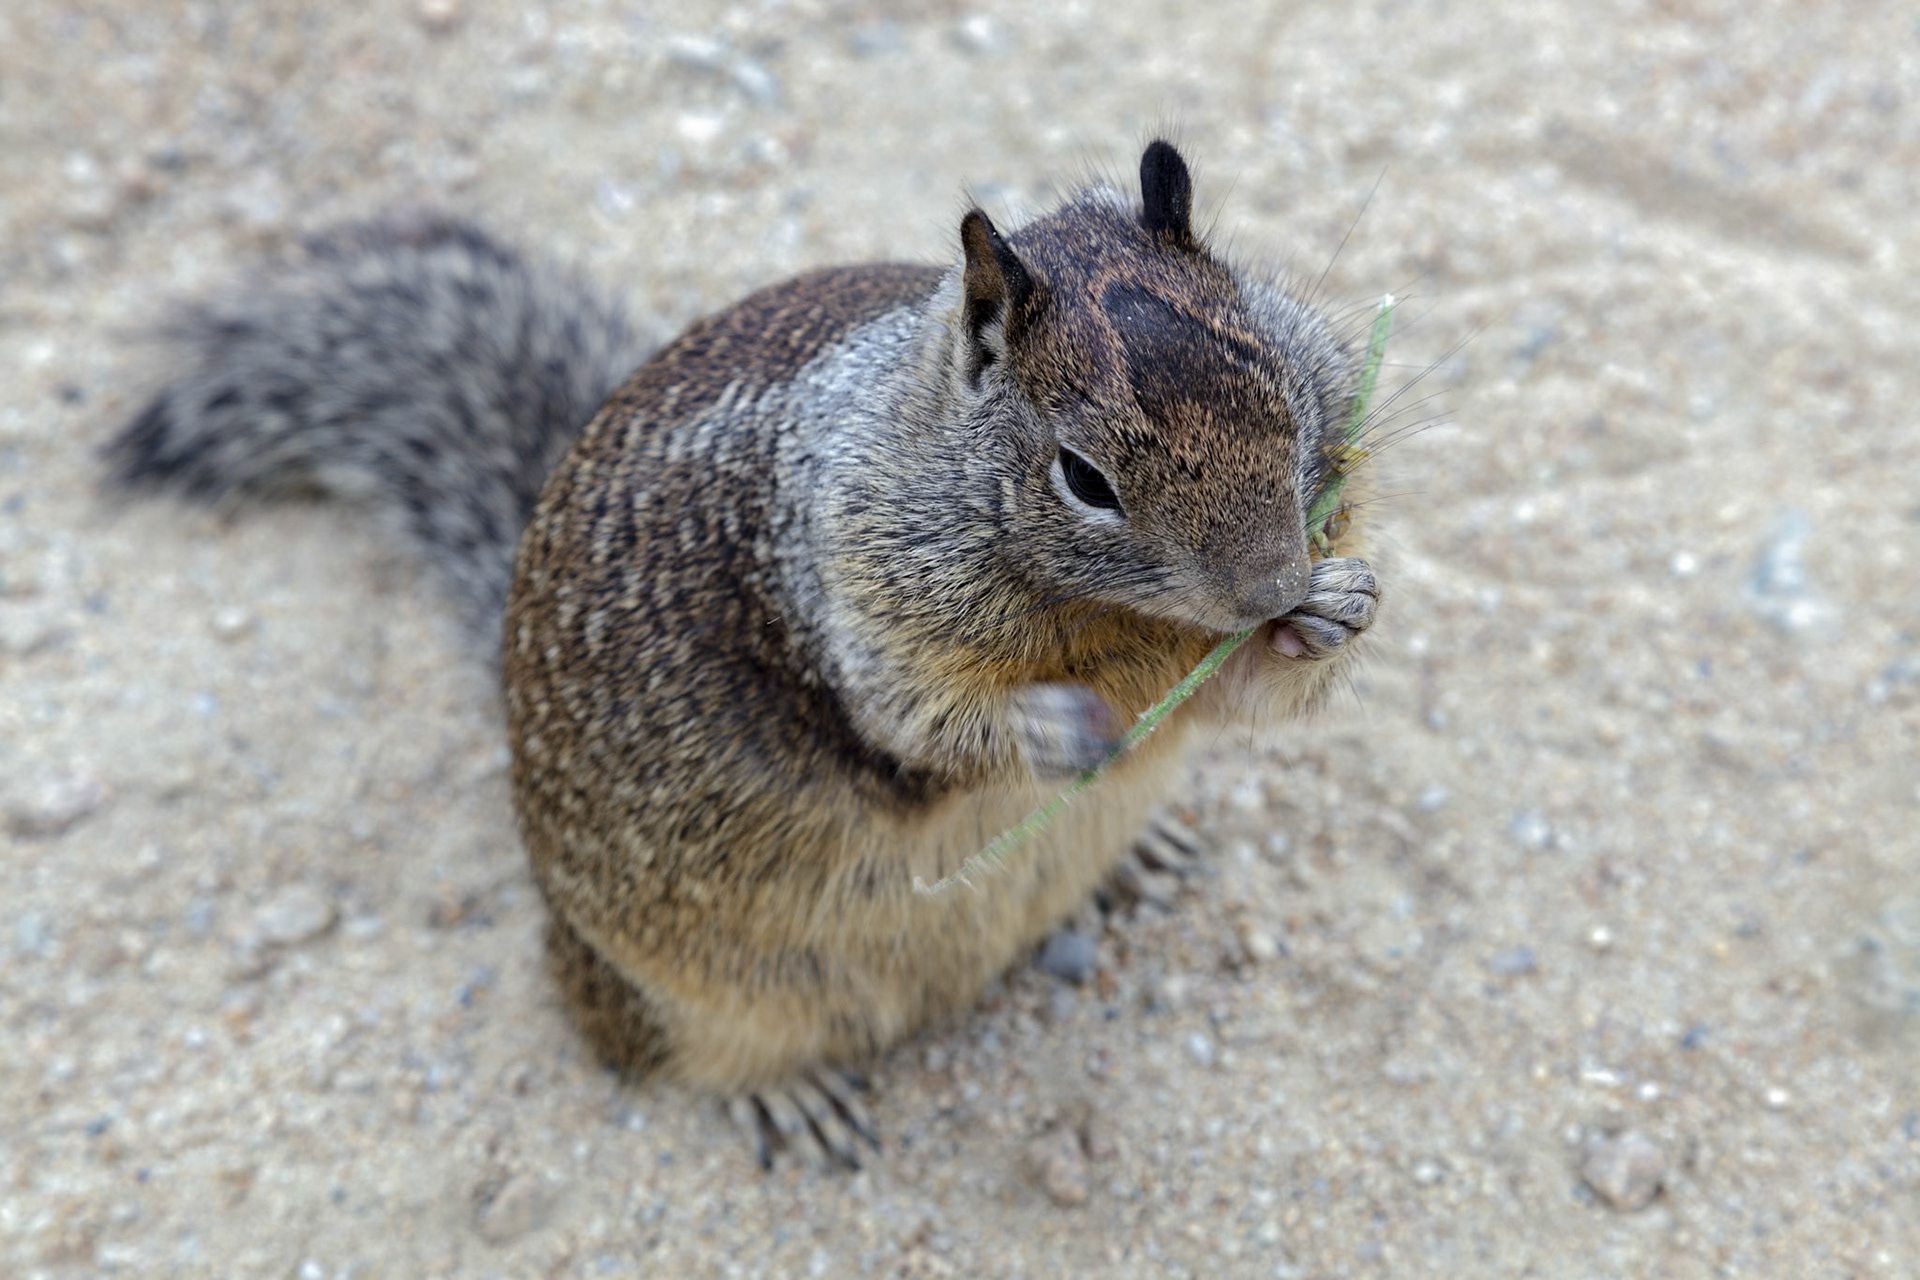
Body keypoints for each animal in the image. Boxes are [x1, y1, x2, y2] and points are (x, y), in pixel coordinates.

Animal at [106, 141, 1380, 1168]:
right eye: (1084, 476)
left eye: (1279, 377)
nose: (1268, 585)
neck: (1124, 624)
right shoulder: (856, 619)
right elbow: (930, 729)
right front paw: (1061, 724)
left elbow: (1235, 696)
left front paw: (1336, 605)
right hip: (679, 993)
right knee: (678, 1052)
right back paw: (789, 1096)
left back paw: (1136, 850)